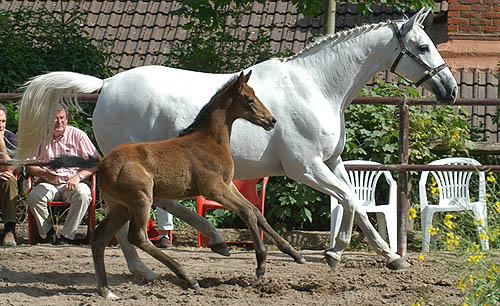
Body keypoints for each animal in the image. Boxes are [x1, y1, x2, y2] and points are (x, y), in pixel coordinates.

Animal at [47, 71, 304, 298]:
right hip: (141, 199)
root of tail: (101, 161)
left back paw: (106, 291)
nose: (271, 120)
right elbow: (248, 212)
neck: (210, 140)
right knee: (137, 236)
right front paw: (261, 264)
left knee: (100, 237)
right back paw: (189, 278)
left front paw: (294, 254)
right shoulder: (214, 188)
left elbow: (257, 214)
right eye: (249, 99)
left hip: (121, 206)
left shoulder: (228, 185)